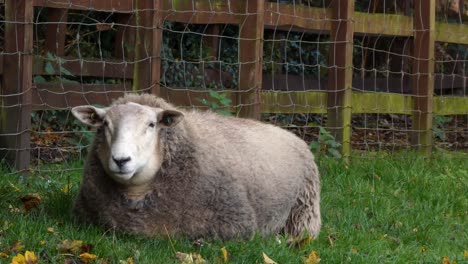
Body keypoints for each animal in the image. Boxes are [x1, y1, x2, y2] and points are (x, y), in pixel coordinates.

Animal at [71, 94, 322, 240]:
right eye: (105, 124)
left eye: (151, 124)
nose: (121, 160)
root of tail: (291, 134)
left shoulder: (236, 225)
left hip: (303, 211)